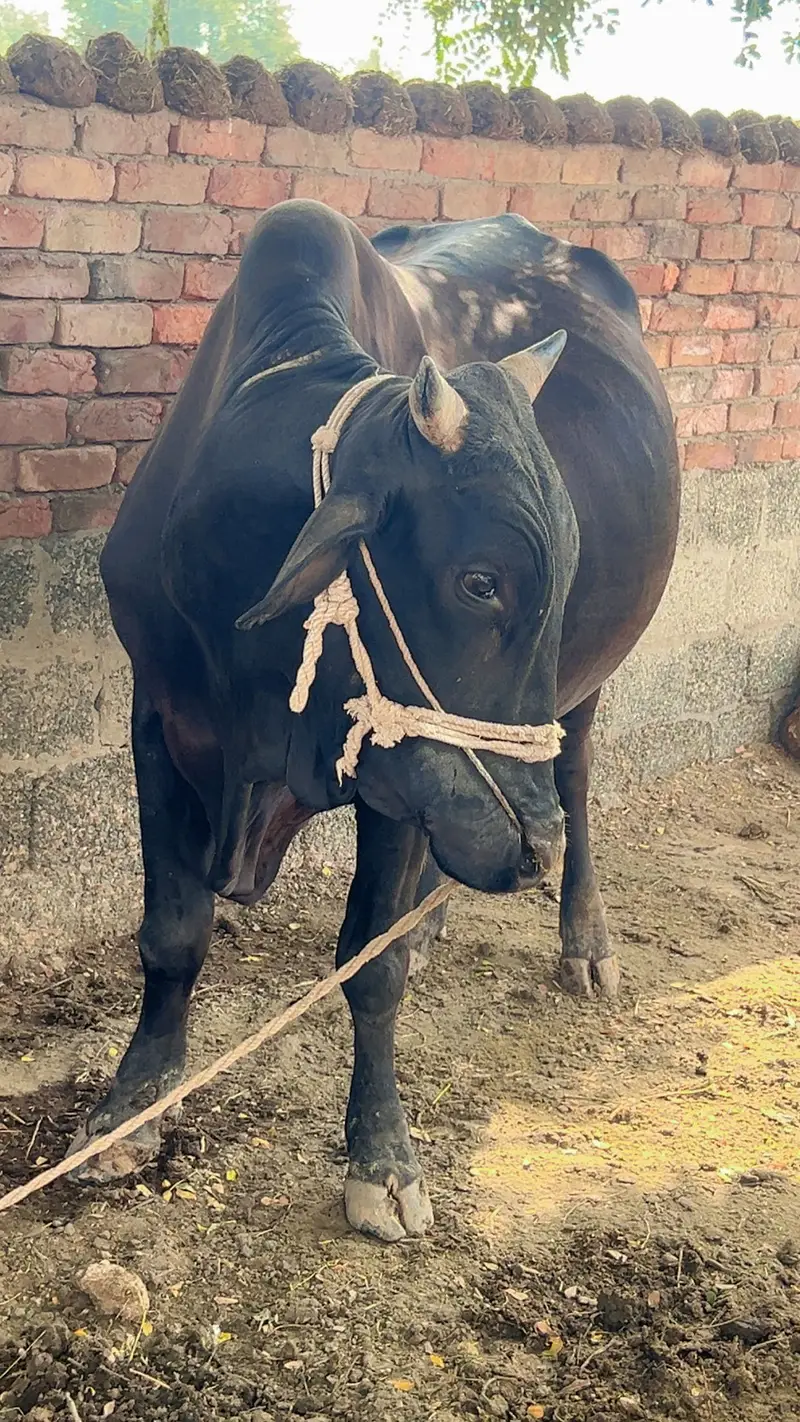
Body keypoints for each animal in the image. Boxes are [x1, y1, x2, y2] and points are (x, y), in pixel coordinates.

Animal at [68, 200, 680, 1242]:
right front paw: (131, 1108)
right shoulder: (161, 721)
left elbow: (370, 967)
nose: (533, 849)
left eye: (560, 570)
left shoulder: (397, 780)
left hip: (583, 695)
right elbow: (173, 933)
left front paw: (383, 1160)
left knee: (578, 776)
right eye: (480, 581)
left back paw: (585, 941)